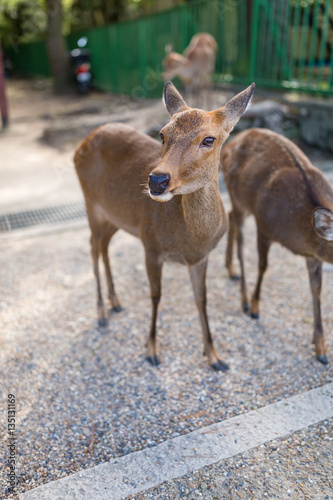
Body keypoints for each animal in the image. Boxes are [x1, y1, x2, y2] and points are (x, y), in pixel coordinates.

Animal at [74, 81, 254, 372]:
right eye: (162, 134)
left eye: (209, 139)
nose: (157, 180)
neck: (191, 239)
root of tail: (82, 143)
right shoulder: (151, 245)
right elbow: (156, 296)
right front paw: (151, 350)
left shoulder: (200, 258)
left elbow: (201, 299)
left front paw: (215, 357)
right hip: (91, 203)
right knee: (92, 247)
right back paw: (101, 313)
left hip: (116, 216)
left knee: (103, 245)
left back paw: (115, 302)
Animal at [220, 128, 332, 364]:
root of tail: (232, 141)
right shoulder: (264, 226)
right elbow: (263, 266)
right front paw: (255, 308)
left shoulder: (313, 255)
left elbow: (316, 289)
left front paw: (321, 349)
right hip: (237, 194)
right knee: (239, 235)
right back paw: (244, 299)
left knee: (230, 216)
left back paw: (231, 270)